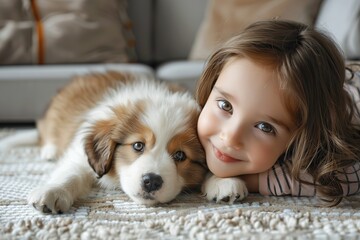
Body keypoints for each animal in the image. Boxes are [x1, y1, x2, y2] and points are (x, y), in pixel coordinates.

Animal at [2, 71, 208, 214]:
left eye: (180, 155)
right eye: (138, 145)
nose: (151, 181)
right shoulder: (79, 154)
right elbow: (71, 172)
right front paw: (53, 191)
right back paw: (50, 151)